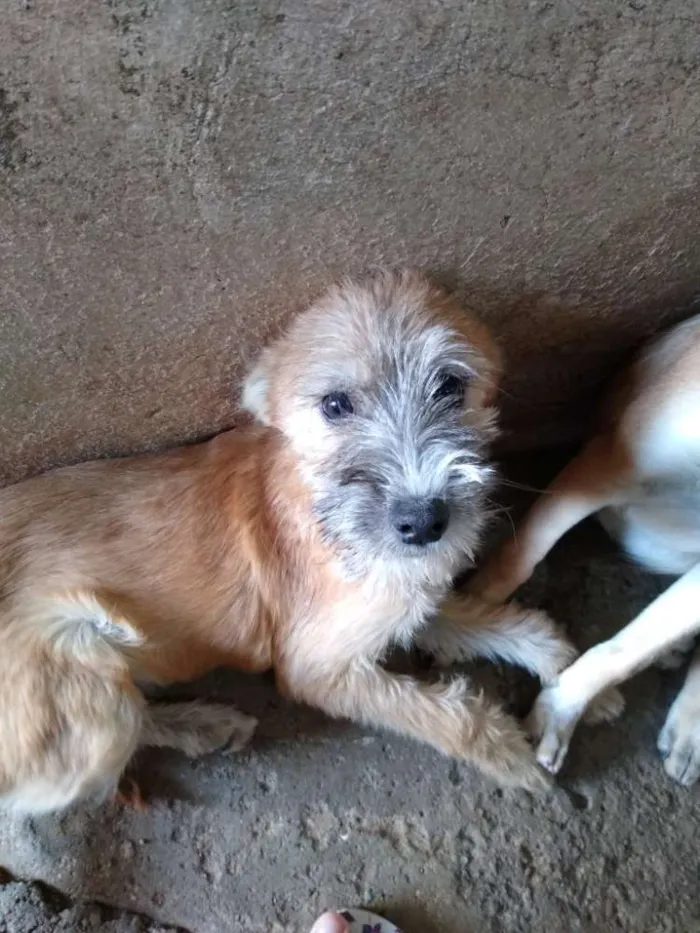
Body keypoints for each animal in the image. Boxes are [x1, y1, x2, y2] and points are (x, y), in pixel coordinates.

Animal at [0, 266, 584, 812]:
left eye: (450, 387)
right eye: (335, 405)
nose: (423, 522)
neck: (317, 501)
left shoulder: (406, 601)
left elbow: (500, 621)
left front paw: (570, 675)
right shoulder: (317, 666)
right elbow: (448, 715)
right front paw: (511, 755)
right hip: (90, 684)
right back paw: (196, 722)